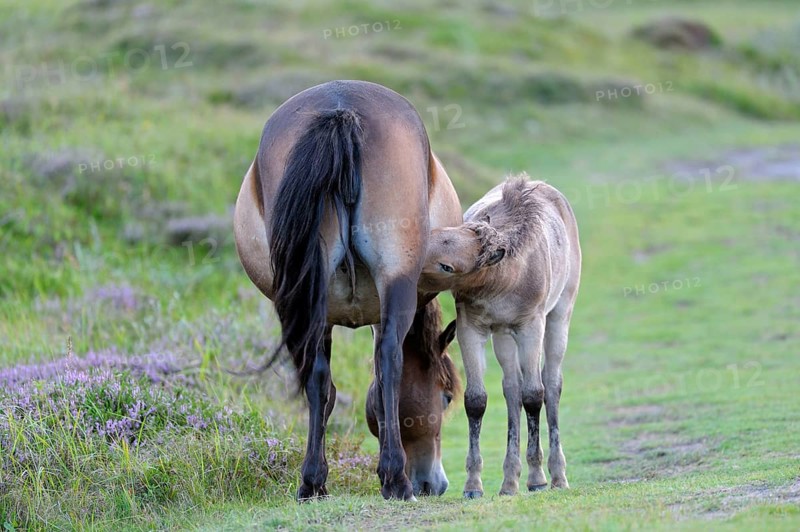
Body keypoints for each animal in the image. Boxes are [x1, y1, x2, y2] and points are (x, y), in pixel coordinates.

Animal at [233, 80, 463, 501]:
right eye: (446, 395)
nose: (433, 484)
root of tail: (341, 110)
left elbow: (324, 386)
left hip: (311, 299)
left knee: (317, 374)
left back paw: (312, 482)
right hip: (395, 280)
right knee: (390, 360)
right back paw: (396, 479)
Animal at [419, 175, 581, 497]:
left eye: (446, 265)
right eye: (437, 233)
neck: (508, 275)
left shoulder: (531, 327)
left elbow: (534, 395)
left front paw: (537, 479)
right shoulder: (471, 329)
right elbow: (477, 400)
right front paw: (473, 485)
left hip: (559, 315)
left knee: (551, 385)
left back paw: (557, 476)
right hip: (503, 336)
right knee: (511, 389)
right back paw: (509, 482)